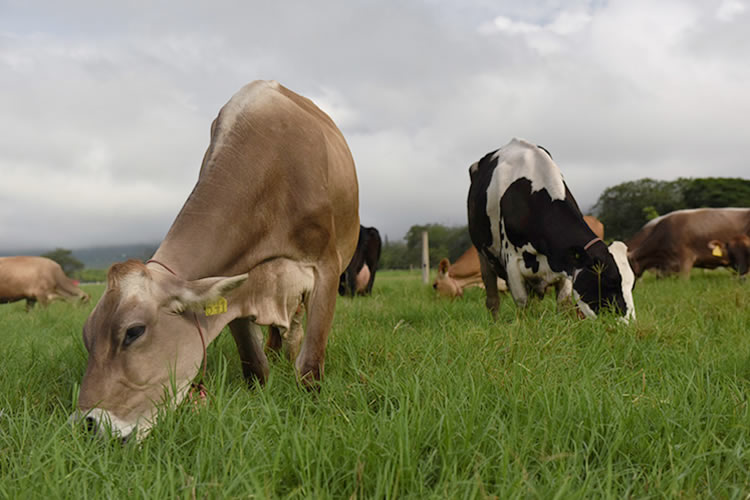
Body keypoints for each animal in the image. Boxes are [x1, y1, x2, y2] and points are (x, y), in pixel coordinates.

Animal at [71, 80, 362, 440]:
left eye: (133, 332)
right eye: (87, 336)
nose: (88, 424)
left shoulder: (326, 266)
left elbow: (309, 367)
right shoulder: (236, 282)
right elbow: (254, 366)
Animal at [470, 139, 636, 322]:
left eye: (632, 285)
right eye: (609, 282)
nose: (629, 324)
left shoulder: (566, 264)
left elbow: (563, 304)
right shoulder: (512, 262)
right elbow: (522, 305)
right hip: (483, 254)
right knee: (492, 297)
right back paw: (496, 322)